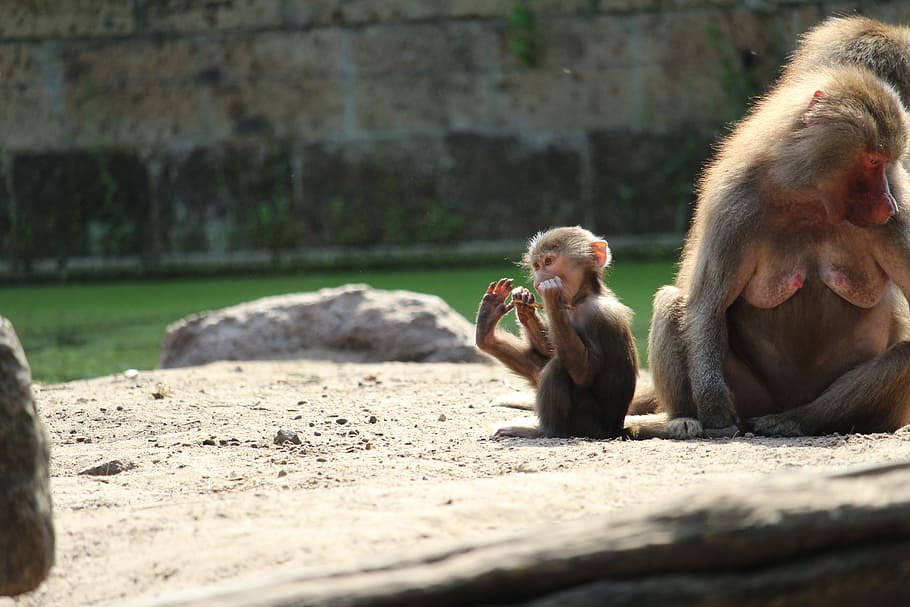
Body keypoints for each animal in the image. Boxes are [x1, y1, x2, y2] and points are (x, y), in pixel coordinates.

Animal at [475, 226, 638, 439]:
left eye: (549, 262)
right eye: (537, 266)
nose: (537, 283)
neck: (581, 298)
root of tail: (615, 429)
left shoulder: (598, 315)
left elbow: (583, 373)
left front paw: (550, 294)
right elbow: (548, 350)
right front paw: (525, 307)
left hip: (587, 425)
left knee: (558, 366)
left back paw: (544, 430)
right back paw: (486, 328)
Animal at [628, 62, 910, 440]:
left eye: (888, 162)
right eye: (872, 161)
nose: (888, 205)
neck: (810, 199)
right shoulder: (734, 206)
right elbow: (707, 304)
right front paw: (715, 412)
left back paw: (796, 420)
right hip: (749, 394)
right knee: (672, 302)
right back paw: (681, 421)